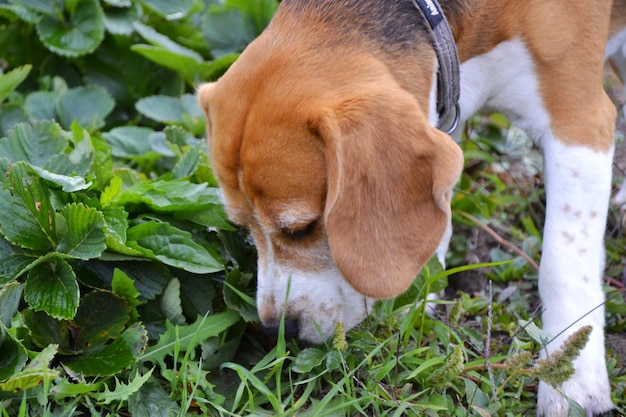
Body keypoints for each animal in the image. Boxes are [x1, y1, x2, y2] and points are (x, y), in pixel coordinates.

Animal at [199, 1, 620, 414]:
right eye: (244, 229)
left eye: (302, 228)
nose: (275, 331)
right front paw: (417, 303)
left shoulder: (580, 123)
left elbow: (562, 264)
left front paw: (572, 380)